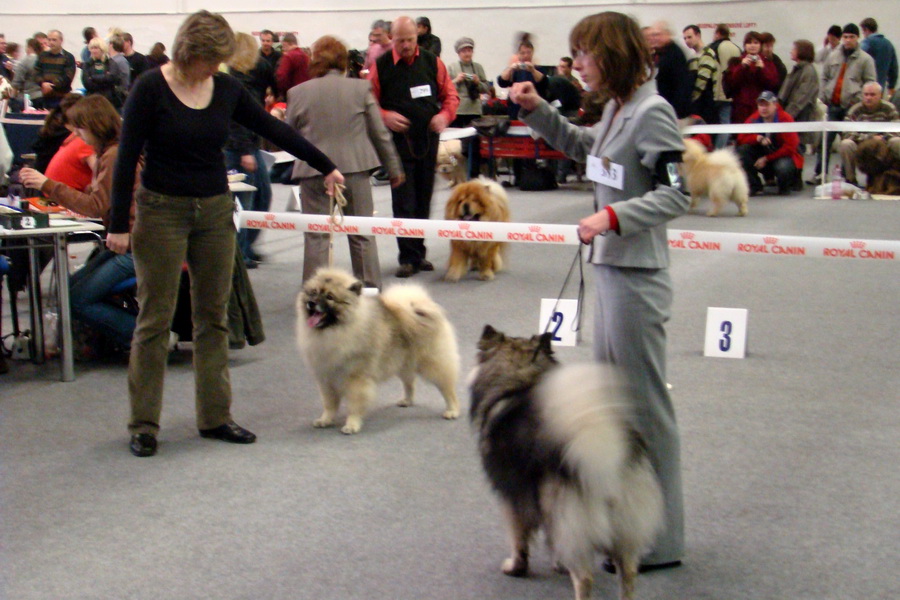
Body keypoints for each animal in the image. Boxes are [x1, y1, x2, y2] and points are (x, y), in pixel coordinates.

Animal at [298, 270, 460, 434]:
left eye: (330, 297)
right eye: (313, 292)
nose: (311, 303)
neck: (336, 331)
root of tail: (416, 307)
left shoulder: (356, 379)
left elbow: (354, 405)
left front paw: (352, 425)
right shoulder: (326, 378)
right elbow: (329, 404)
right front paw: (325, 419)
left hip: (432, 364)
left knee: (447, 388)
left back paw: (452, 410)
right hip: (402, 362)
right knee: (409, 383)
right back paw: (407, 400)